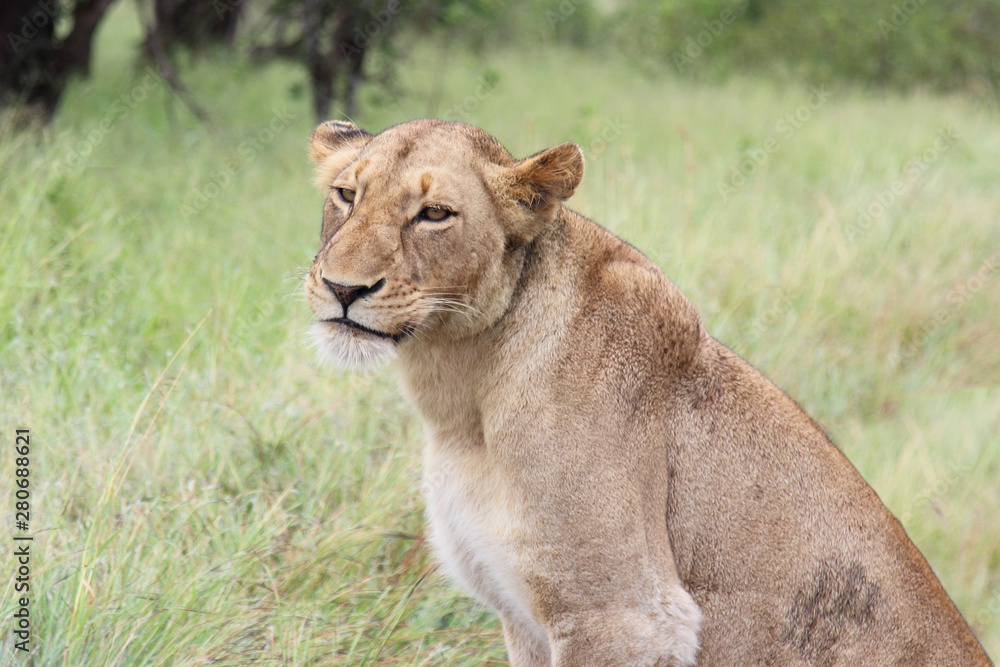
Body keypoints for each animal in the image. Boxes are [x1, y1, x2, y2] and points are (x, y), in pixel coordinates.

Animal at [303, 118, 992, 666]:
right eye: (346, 195)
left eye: (435, 215)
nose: (343, 288)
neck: (459, 389)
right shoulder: (524, 618)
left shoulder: (625, 616)